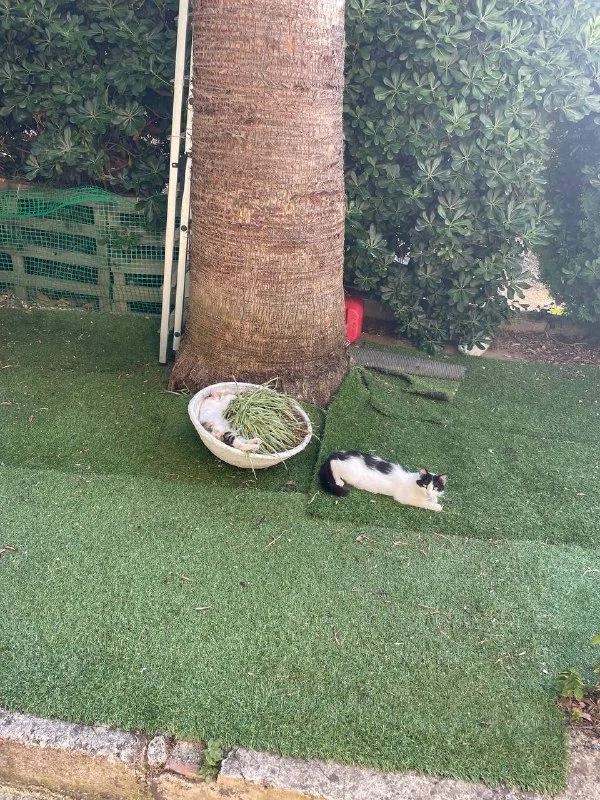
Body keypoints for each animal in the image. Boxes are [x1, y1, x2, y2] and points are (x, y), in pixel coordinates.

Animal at [319, 450, 447, 511]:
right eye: (425, 485)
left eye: (435, 487)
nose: (428, 493)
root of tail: (340, 452)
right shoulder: (405, 498)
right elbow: (424, 503)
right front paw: (437, 506)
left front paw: (433, 499)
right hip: (351, 473)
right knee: (334, 463)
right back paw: (338, 481)